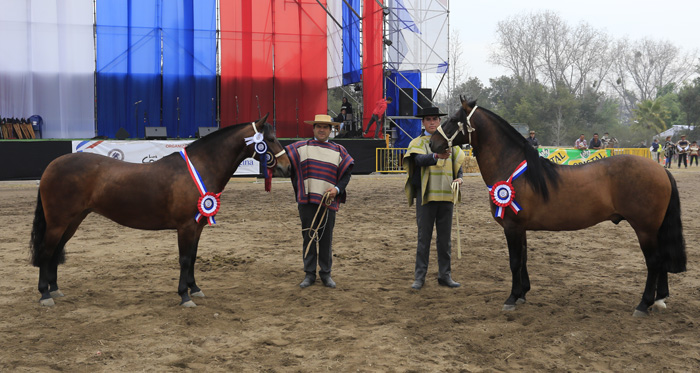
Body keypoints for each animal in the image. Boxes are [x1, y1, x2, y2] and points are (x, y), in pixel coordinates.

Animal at [30, 115, 290, 306]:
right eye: (270, 138)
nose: (286, 167)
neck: (201, 167)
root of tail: (52, 166)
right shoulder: (185, 227)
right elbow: (184, 259)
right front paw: (184, 296)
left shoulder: (197, 226)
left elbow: (193, 257)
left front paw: (195, 288)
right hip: (58, 222)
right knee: (46, 251)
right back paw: (45, 295)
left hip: (73, 221)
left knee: (56, 251)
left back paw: (55, 289)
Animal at [430, 96, 688, 314]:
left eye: (453, 120)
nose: (433, 143)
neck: (514, 168)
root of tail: (661, 169)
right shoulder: (521, 228)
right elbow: (523, 259)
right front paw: (523, 293)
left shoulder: (512, 227)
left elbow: (514, 262)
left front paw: (511, 298)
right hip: (654, 230)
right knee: (661, 261)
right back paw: (659, 299)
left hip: (645, 229)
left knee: (654, 262)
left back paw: (643, 304)